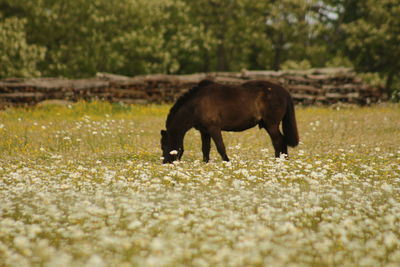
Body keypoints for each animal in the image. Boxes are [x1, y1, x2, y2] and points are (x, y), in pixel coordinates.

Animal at [161, 78, 298, 164]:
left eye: (165, 145)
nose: (165, 162)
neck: (196, 104)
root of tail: (284, 91)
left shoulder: (214, 129)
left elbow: (220, 147)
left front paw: (227, 163)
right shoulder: (204, 131)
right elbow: (205, 149)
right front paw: (205, 164)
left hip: (271, 124)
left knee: (278, 141)